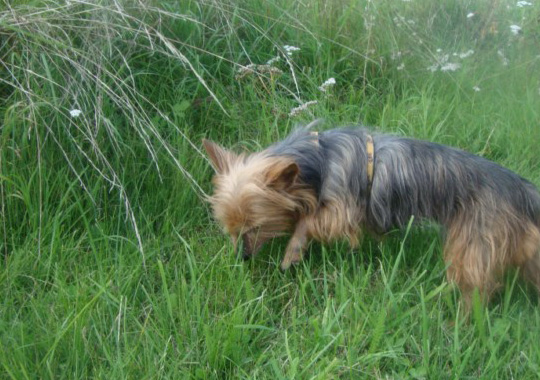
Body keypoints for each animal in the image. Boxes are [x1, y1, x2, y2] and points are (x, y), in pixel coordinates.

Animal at [204, 124, 540, 306]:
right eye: (229, 229)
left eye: (255, 226)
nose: (241, 258)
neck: (319, 159)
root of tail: (522, 190)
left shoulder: (341, 209)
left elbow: (309, 221)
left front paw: (292, 252)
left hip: (474, 244)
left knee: (476, 289)